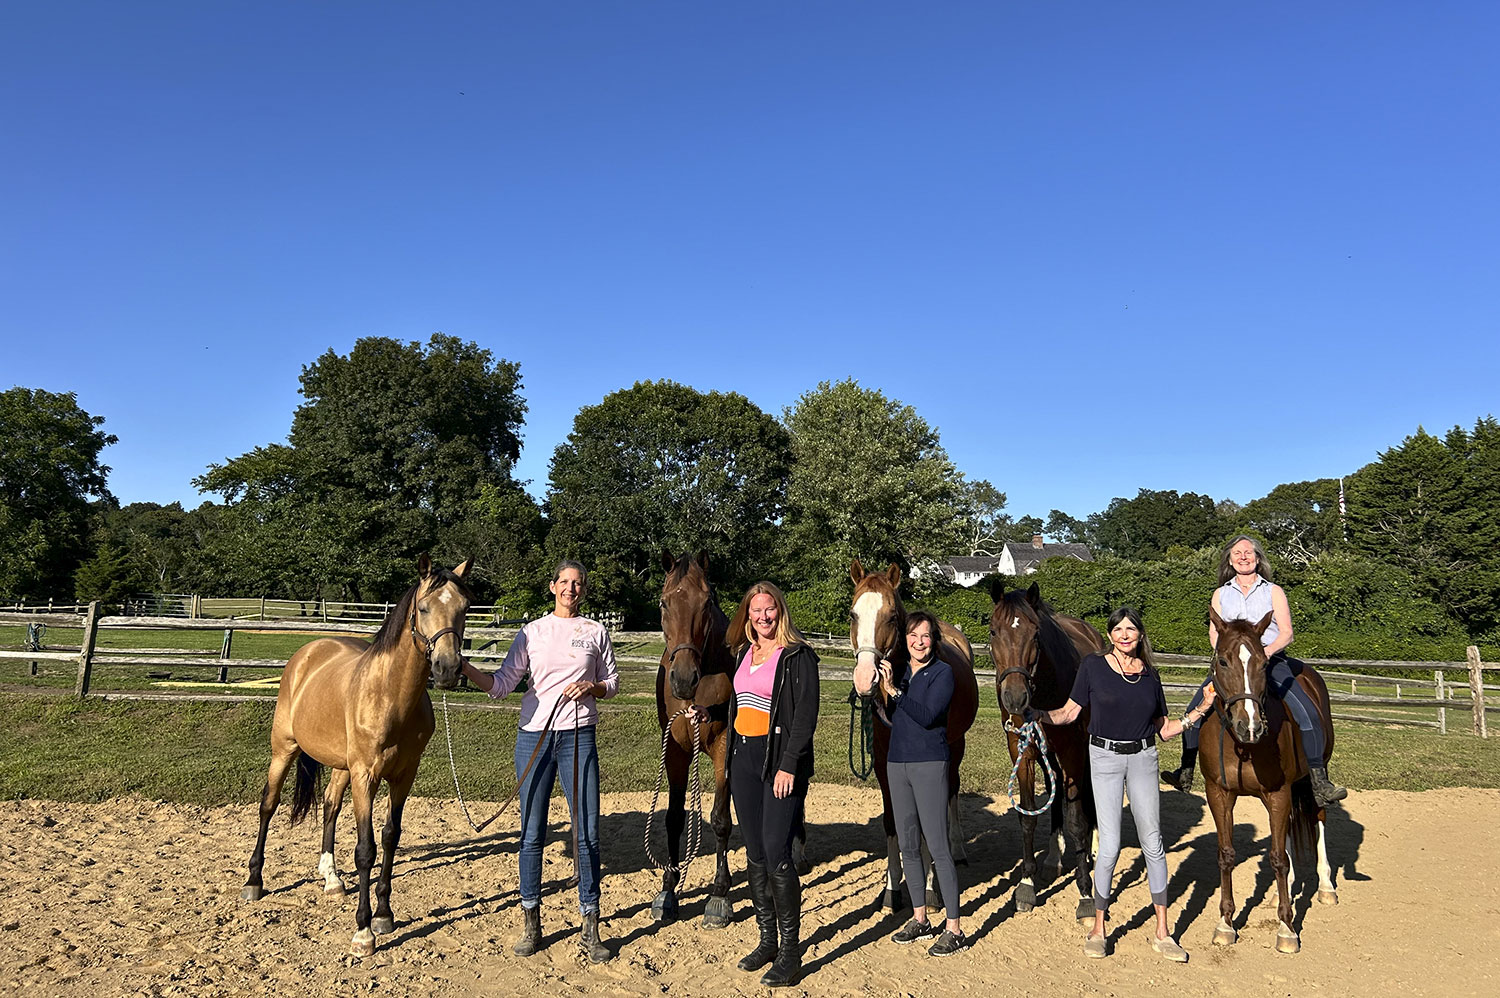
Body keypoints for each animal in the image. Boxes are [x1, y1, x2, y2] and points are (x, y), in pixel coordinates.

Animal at [852, 561, 978, 912]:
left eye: (892, 617)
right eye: (853, 615)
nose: (865, 678)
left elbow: (927, 821)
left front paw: (932, 889)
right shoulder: (885, 763)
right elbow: (893, 822)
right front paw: (892, 889)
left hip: (956, 746)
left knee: (952, 792)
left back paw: (958, 849)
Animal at [990, 579, 1110, 924]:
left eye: (1035, 634)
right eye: (993, 631)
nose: (1015, 697)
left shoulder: (1072, 751)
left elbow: (1077, 821)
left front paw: (1085, 894)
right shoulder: (1023, 751)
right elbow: (1028, 817)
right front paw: (1027, 886)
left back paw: (1096, 850)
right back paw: (1053, 859)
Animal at [1200, 603, 1344, 954]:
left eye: (1264, 663)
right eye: (1222, 661)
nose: (1249, 727)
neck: (1243, 747)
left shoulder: (1278, 792)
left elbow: (1278, 858)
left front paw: (1287, 928)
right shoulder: (1219, 794)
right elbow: (1226, 855)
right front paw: (1225, 924)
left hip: (1313, 778)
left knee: (1319, 816)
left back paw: (1326, 886)